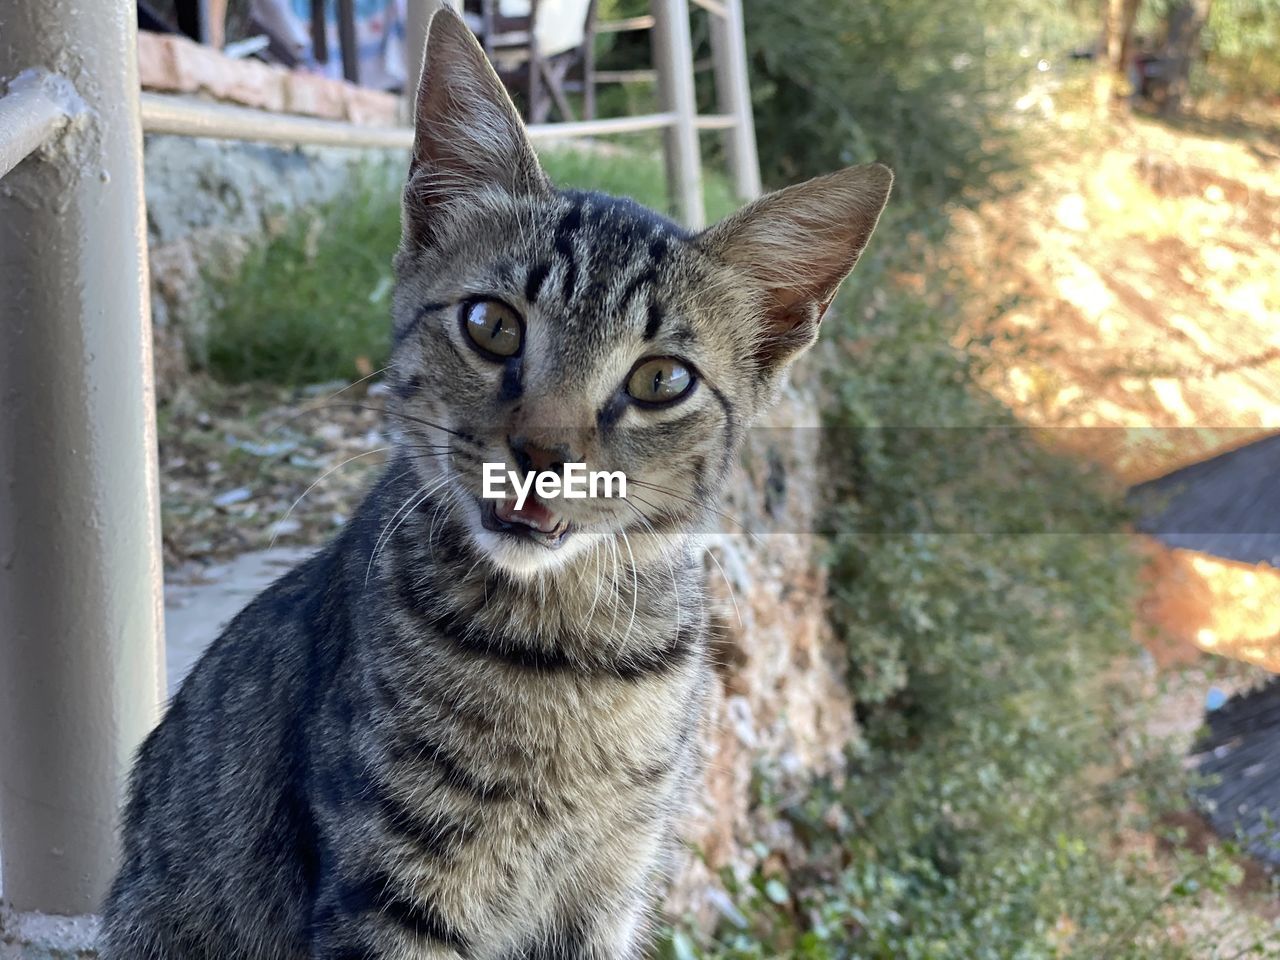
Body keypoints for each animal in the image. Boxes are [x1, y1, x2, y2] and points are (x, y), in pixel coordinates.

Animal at [99, 9, 890, 960]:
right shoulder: (392, 889)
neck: (566, 653)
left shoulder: (612, 888)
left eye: (663, 379)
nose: (543, 451)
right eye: (492, 325)